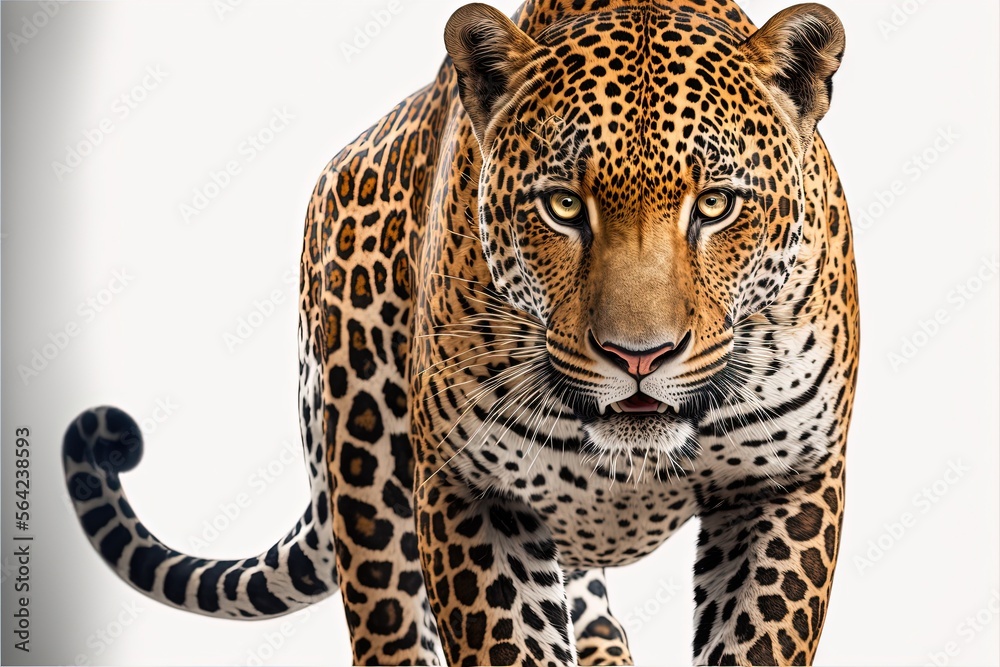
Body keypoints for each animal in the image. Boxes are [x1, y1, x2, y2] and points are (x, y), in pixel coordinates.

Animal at [62, 1, 859, 665]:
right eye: (563, 206)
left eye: (717, 204)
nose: (640, 356)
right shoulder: (472, 491)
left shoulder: (785, 483)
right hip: (368, 473)